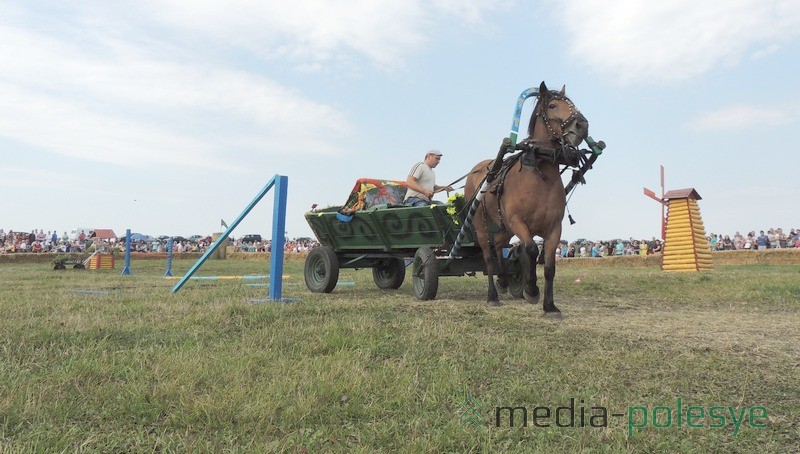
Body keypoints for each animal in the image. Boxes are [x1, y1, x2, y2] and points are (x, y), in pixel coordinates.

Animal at [466, 81, 592, 314]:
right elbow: (532, 249)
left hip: (504, 227)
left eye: (572, 103)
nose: (582, 125)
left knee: (498, 245)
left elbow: (549, 267)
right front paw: (532, 290)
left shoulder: (554, 227)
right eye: (552, 105)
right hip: (482, 225)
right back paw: (492, 295)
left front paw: (550, 306)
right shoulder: (518, 222)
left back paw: (503, 281)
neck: (538, 177)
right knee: (489, 256)